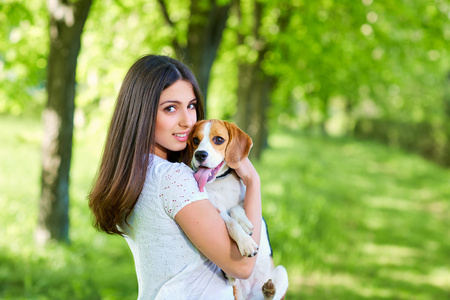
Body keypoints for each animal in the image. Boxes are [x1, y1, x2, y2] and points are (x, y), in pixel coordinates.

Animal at [185, 119, 288, 300]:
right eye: (195, 140)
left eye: (218, 140)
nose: (199, 155)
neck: (220, 182)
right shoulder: (215, 211)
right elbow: (231, 223)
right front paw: (245, 242)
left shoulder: (246, 201)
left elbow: (235, 208)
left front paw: (245, 223)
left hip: (282, 272)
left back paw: (269, 290)